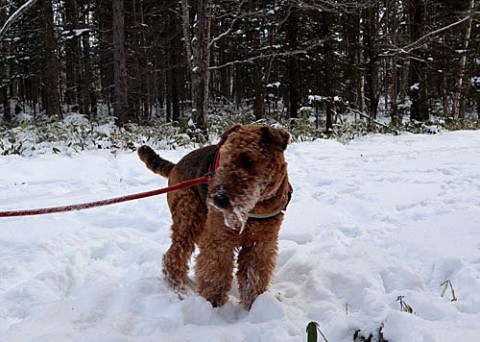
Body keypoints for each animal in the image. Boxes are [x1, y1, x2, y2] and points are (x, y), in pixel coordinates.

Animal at [137, 124, 290, 308]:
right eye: (224, 156)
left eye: (248, 159)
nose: (219, 199)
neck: (256, 206)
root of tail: (175, 165)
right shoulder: (219, 238)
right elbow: (216, 272)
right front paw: (212, 303)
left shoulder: (261, 243)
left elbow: (253, 277)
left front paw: (254, 303)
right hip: (189, 218)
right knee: (173, 256)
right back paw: (180, 287)